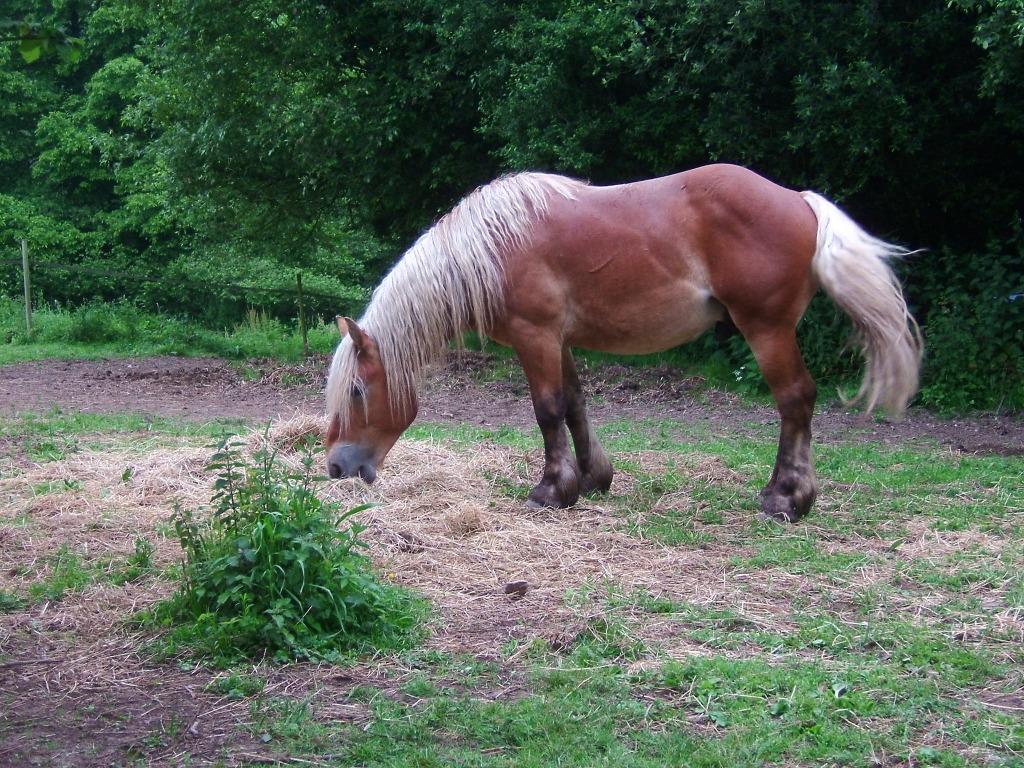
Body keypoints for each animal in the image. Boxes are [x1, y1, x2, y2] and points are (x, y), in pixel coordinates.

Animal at [323, 163, 925, 524]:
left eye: (356, 391)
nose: (334, 467)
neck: (492, 249)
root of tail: (799, 200)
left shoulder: (534, 336)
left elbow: (547, 410)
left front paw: (551, 490)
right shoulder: (559, 340)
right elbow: (574, 404)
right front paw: (592, 478)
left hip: (767, 330)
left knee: (795, 400)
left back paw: (786, 498)